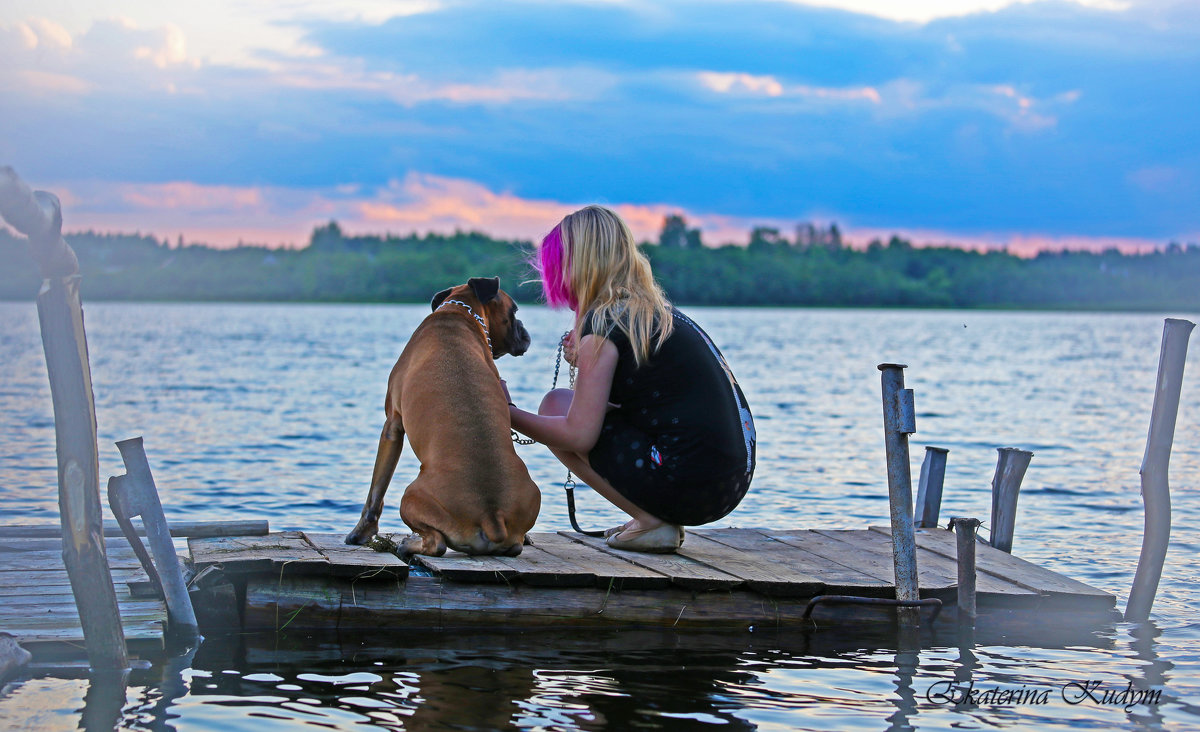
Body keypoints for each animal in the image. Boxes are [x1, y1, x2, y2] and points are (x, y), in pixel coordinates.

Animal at [343, 274, 540, 552]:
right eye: (514, 312)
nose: (524, 330)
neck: (460, 313)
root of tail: (493, 516)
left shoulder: (392, 425)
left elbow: (376, 492)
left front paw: (360, 533)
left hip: (410, 497)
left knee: (436, 544)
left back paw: (408, 544)